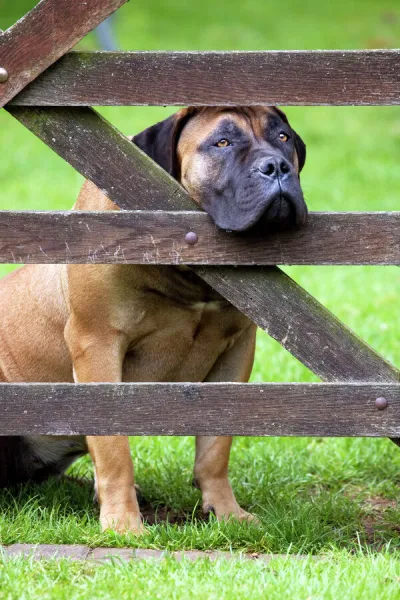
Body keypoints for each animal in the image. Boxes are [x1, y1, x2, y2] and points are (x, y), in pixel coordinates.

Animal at [0, 105, 308, 532]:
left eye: (282, 137)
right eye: (222, 142)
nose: (277, 166)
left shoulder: (236, 351)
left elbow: (216, 446)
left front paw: (226, 512)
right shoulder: (98, 345)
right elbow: (114, 448)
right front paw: (123, 524)